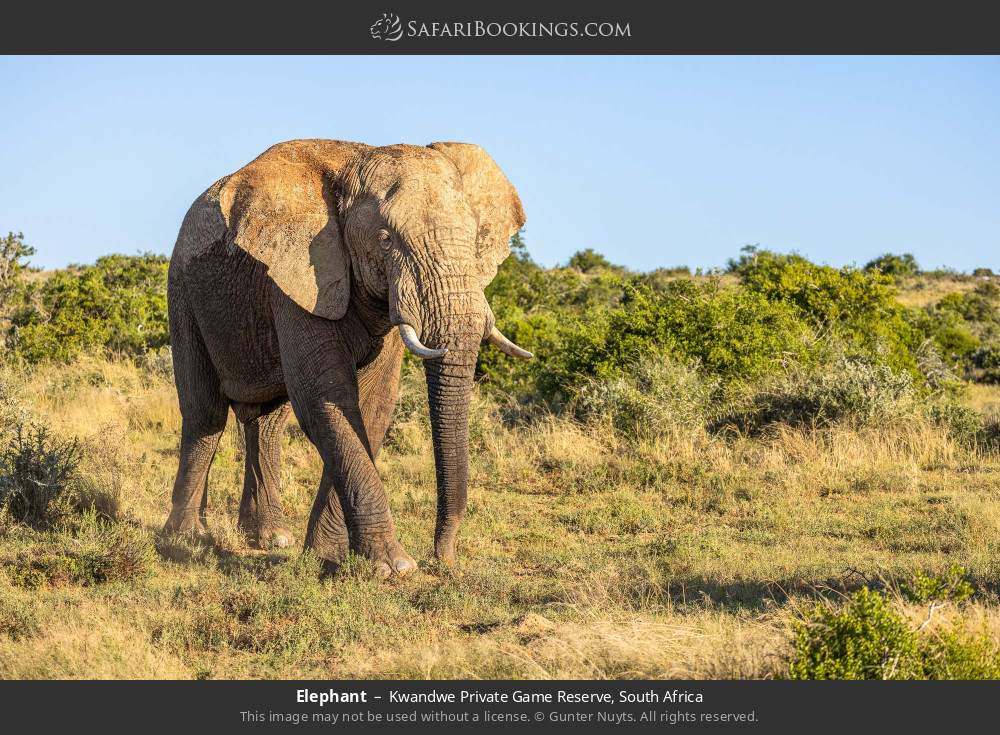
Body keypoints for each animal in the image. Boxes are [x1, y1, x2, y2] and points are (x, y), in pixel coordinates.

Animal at [162, 139, 531, 577]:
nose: (443, 558)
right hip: (182, 289)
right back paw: (187, 542)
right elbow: (326, 400)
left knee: (267, 421)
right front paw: (393, 567)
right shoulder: (297, 277)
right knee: (205, 414)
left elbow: (371, 407)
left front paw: (328, 558)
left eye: (475, 238)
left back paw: (270, 539)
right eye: (386, 240)